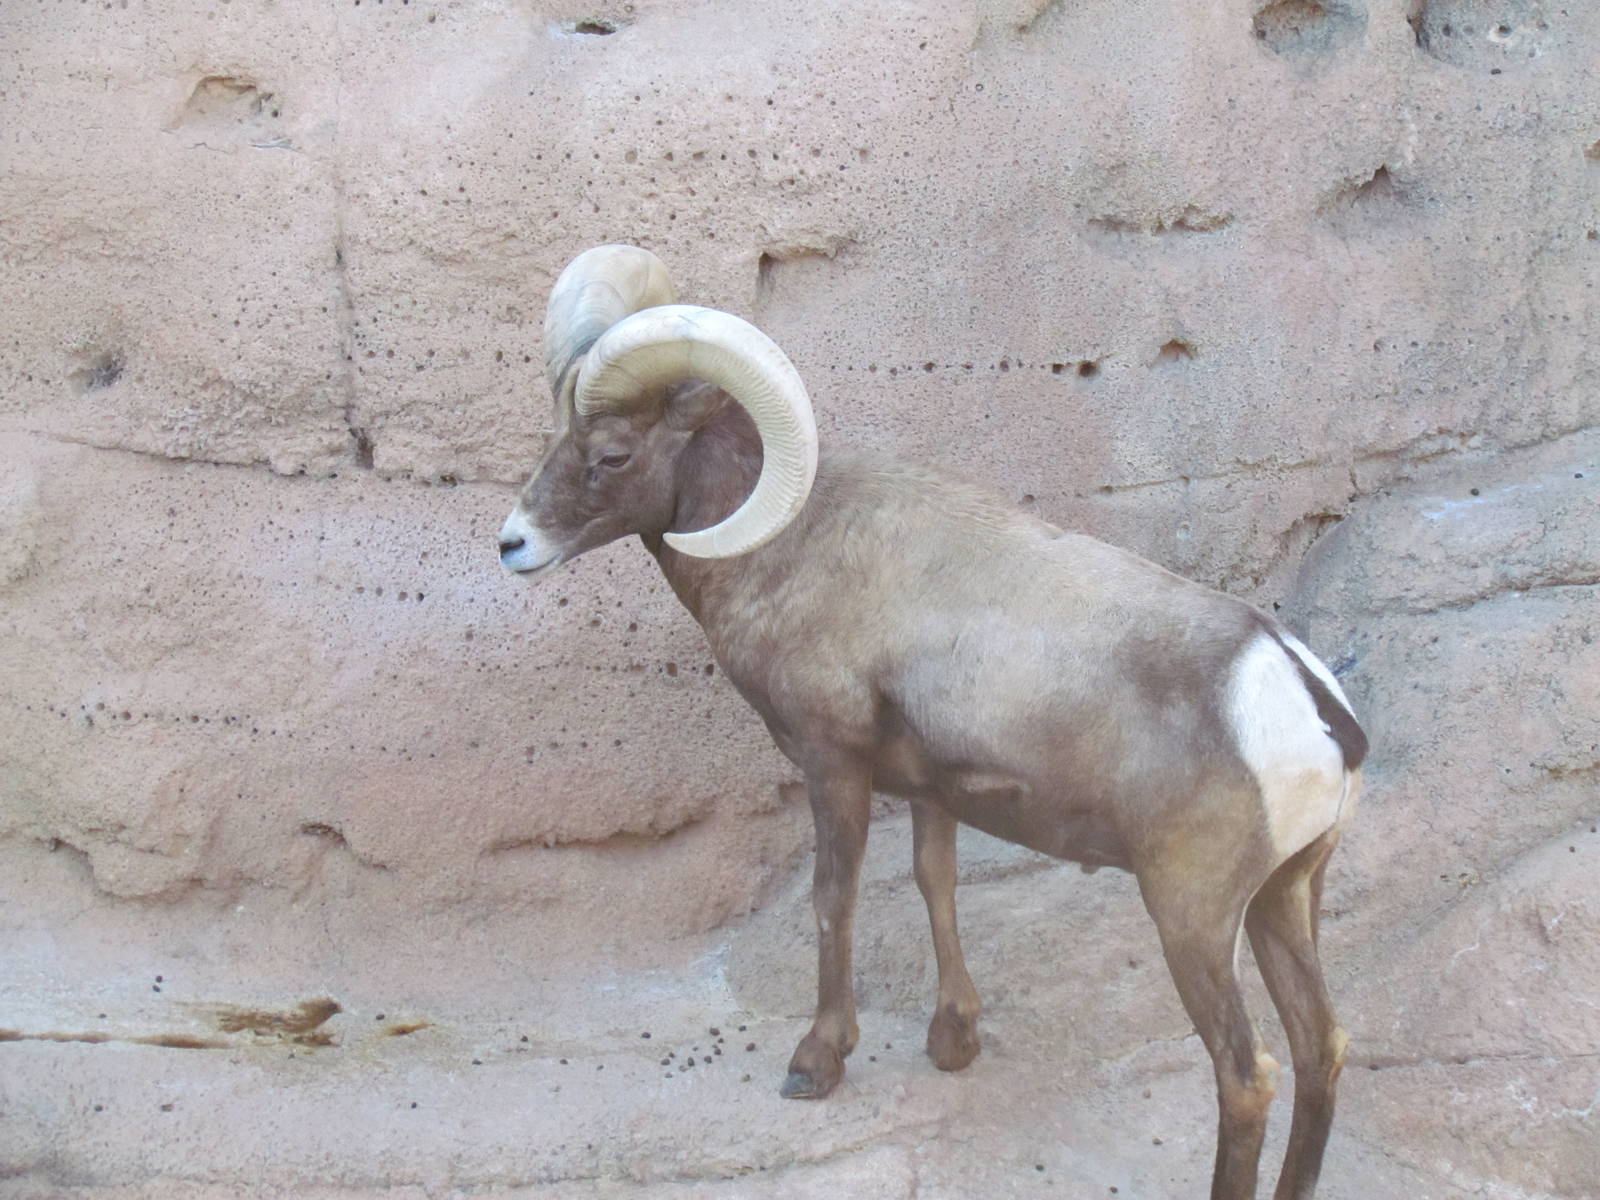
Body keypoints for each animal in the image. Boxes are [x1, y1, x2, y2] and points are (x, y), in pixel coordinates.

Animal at [498, 244, 1368, 1200]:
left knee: (1247, 1077)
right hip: (1284, 898)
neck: (789, 547)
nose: (513, 544)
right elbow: (933, 883)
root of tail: (1303, 700)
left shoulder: (833, 765)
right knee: (1321, 1047)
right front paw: (953, 1042)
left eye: (611, 454)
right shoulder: (931, 790)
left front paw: (817, 1063)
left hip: (1194, 918)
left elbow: (834, 898)